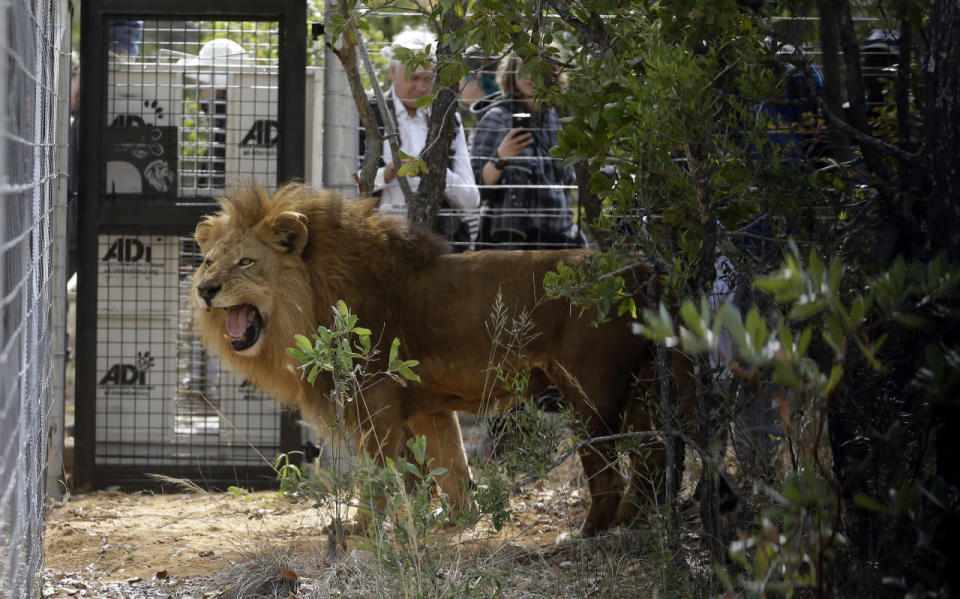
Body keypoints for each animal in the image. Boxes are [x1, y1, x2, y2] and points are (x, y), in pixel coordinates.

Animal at [193, 183, 688, 536]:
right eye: (209, 261)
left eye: (244, 262)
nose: (204, 289)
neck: (309, 299)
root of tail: (643, 269)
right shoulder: (428, 409)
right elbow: (454, 469)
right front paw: (458, 521)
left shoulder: (374, 400)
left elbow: (377, 475)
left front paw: (359, 529)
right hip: (637, 386)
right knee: (654, 455)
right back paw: (634, 524)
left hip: (590, 393)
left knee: (615, 470)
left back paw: (592, 534)